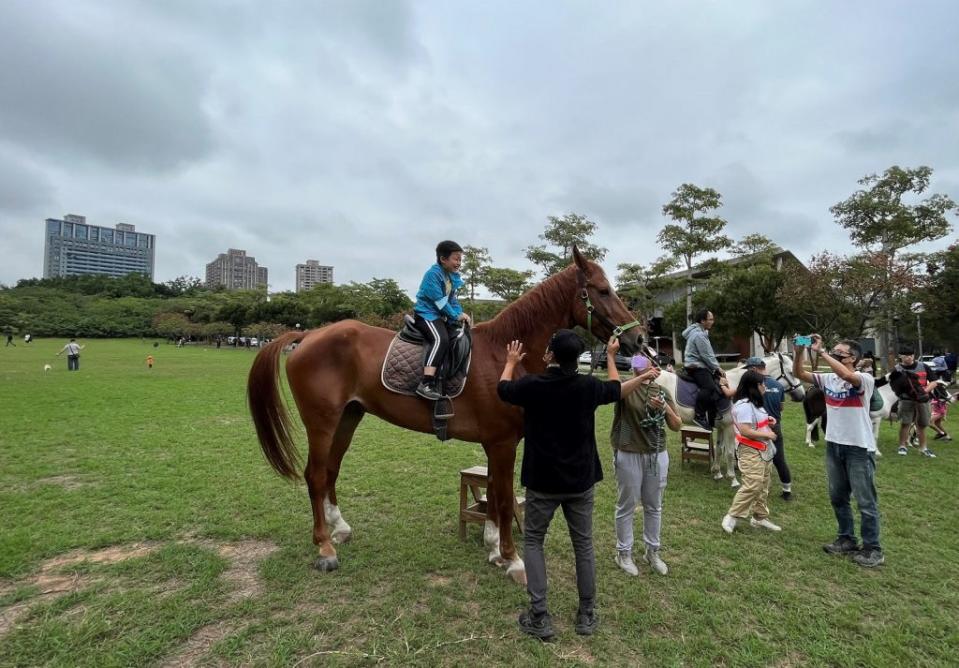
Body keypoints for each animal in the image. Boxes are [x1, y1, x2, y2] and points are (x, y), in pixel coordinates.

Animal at [246, 247, 644, 584]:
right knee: (314, 475)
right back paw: (324, 547)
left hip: (348, 418)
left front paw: (494, 549)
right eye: (603, 290)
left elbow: (495, 494)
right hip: (322, 422)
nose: (638, 339)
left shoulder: (494, 444)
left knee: (330, 470)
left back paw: (339, 528)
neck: (504, 355)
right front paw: (512, 559)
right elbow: (502, 498)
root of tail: (310, 335)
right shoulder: (502, 444)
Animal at [656, 352, 808, 488]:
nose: (802, 395)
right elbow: (729, 452)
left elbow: (719, 449)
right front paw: (732, 479)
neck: (737, 385)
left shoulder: (722, 426)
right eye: (791, 372)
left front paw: (717, 473)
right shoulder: (730, 427)